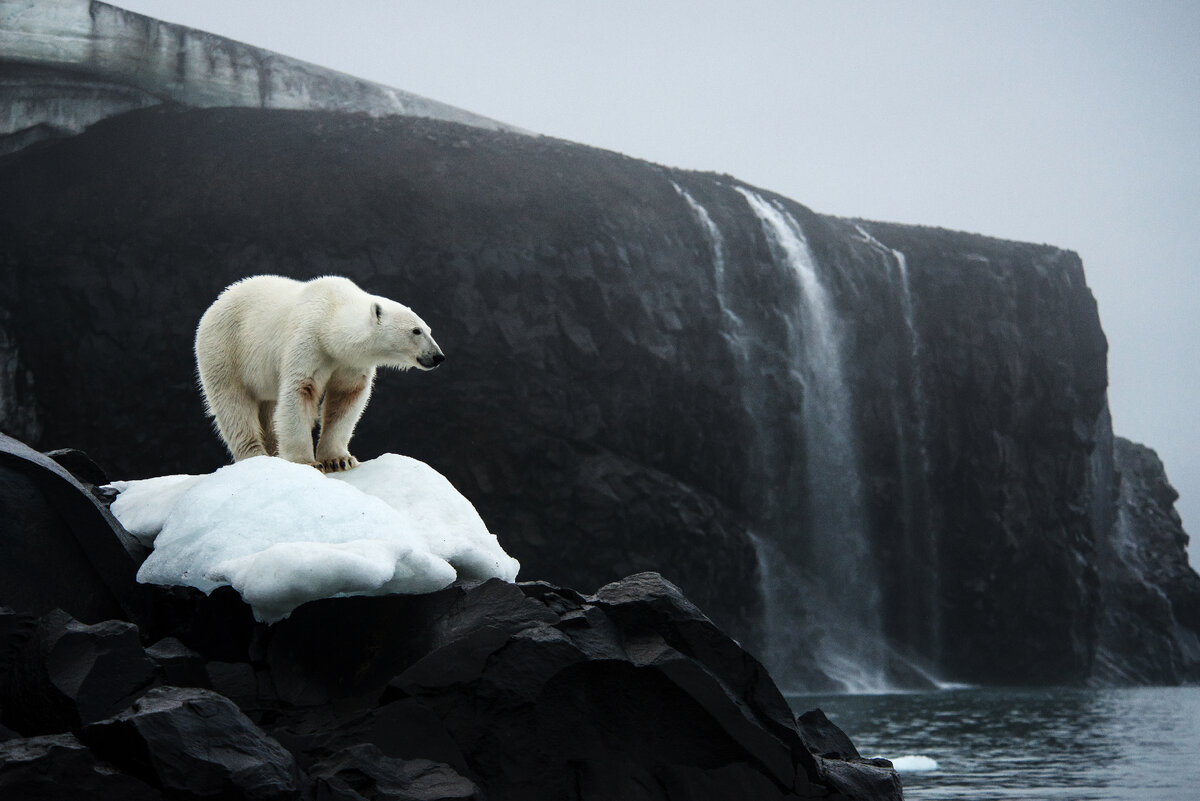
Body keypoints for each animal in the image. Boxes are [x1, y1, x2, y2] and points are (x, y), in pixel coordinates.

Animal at [194, 276, 444, 472]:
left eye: (429, 329)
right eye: (416, 330)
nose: (438, 356)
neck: (331, 315)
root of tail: (218, 301)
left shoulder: (349, 362)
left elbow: (346, 398)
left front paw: (339, 460)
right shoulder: (309, 340)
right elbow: (301, 391)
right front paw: (307, 462)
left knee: (267, 408)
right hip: (224, 350)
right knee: (233, 404)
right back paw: (255, 454)